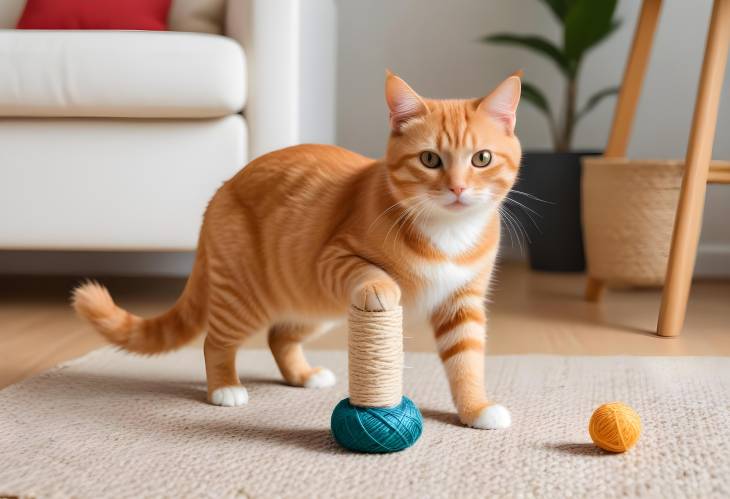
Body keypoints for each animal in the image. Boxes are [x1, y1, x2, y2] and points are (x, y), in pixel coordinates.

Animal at [72, 72, 516, 432]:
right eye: (429, 159)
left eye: (481, 159)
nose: (458, 188)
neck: (448, 232)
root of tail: (221, 191)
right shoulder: (332, 259)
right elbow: (374, 274)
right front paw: (383, 287)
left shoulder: (463, 303)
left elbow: (466, 362)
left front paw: (475, 409)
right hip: (247, 296)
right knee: (216, 342)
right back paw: (225, 388)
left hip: (315, 306)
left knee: (279, 336)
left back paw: (302, 375)